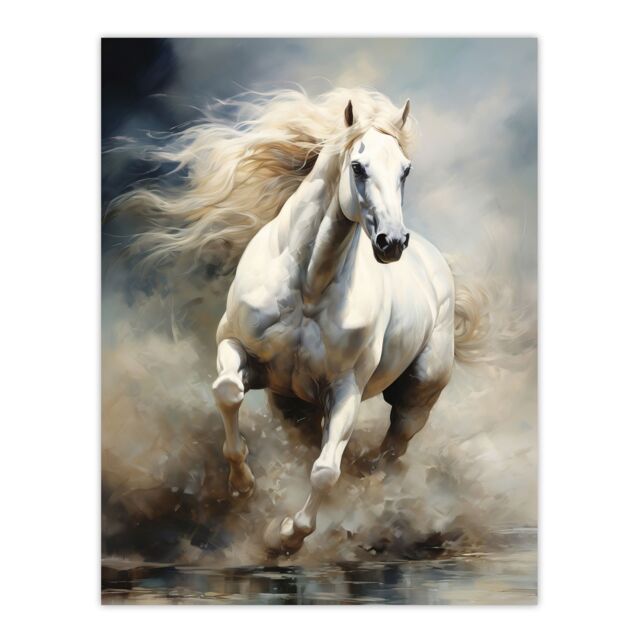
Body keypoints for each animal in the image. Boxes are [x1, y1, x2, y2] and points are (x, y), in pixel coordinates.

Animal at [114, 88, 484, 555]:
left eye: (405, 169)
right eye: (358, 167)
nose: (392, 242)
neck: (308, 288)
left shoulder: (345, 390)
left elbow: (325, 471)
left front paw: (286, 535)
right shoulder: (239, 351)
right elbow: (228, 392)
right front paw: (242, 485)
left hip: (415, 397)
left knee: (390, 454)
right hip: (294, 405)